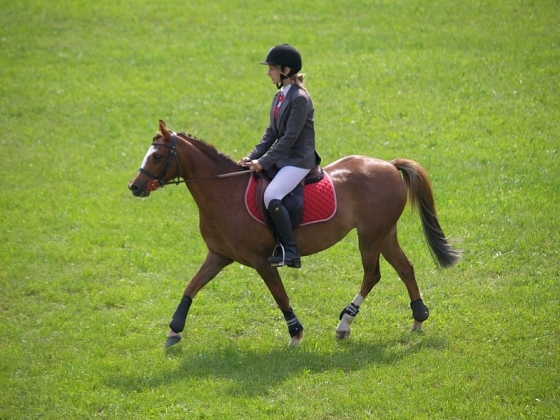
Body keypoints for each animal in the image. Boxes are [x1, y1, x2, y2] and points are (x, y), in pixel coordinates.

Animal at [129, 120, 462, 346]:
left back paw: (345, 323)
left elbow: (279, 295)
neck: (224, 192)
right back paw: (418, 318)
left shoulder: (262, 261)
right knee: (405, 268)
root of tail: (390, 165)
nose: (134, 186)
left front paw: (295, 333)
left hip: (369, 237)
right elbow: (192, 286)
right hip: (384, 234)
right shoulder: (219, 255)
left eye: (156, 157)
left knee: (373, 275)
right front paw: (174, 329)